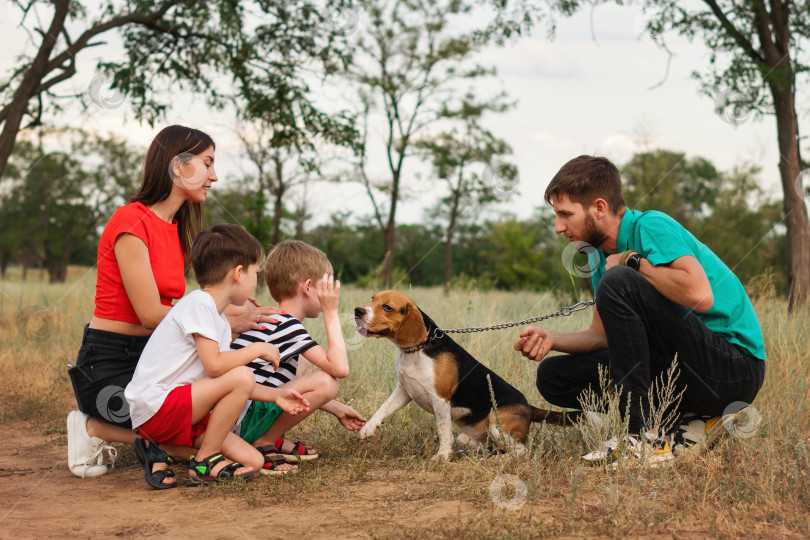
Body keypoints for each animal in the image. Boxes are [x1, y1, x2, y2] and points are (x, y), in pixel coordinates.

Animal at [354, 292, 580, 460]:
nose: (358, 310)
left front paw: (443, 456)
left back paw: (500, 459)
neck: (417, 350)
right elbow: (383, 408)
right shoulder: (405, 390)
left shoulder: (440, 399)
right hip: (472, 436)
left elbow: (443, 430)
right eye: (372, 298)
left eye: (387, 307)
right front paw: (368, 428)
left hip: (497, 423)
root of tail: (529, 407)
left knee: (520, 451)